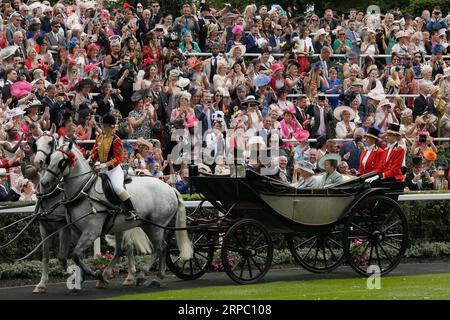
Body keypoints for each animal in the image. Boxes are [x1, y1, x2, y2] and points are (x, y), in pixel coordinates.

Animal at [39, 141, 192, 286]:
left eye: (62, 161)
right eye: (49, 158)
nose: (45, 182)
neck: (84, 190)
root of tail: (170, 188)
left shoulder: (91, 232)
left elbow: (76, 255)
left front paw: (95, 274)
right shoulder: (77, 231)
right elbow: (75, 256)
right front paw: (82, 277)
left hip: (155, 226)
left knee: (159, 247)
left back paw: (141, 274)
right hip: (144, 225)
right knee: (154, 247)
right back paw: (156, 274)